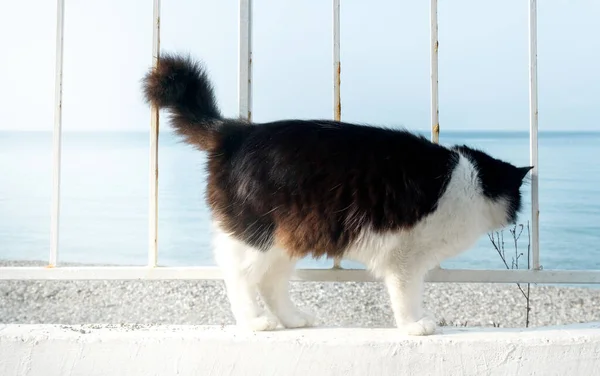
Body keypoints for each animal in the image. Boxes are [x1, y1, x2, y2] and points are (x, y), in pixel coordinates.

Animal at [143, 52, 532, 334]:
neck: (470, 179)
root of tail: (236, 131)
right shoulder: (405, 259)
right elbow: (406, 296)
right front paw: (413, 326)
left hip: (286, 239)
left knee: (271, 282)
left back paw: (292, 319)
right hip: (257, 235)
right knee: (238, 275)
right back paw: (255, 322)